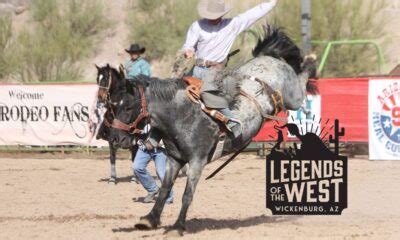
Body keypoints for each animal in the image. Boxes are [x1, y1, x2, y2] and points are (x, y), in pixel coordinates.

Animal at [97, 27, 316, 235]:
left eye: (127, 107)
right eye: (113, 106)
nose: (113, 137)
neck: (182, 115)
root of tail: (269, 58)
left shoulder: (197, 161)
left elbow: (187, 194)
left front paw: (177, 226)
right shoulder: (174, 159)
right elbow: (165, 188)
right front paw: (150, 219)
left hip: (293, 96)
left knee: (303, 80)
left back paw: (311, 63)